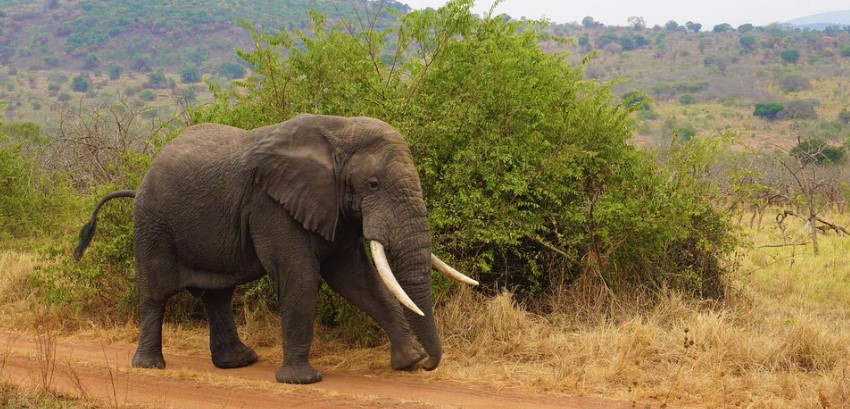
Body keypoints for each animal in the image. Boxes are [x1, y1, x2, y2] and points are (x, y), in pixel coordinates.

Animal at [74, 114, 477, 384]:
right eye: (373, 185)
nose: (430, 365)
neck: (339, 131)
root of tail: (139, 183)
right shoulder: (271, 205)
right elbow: (300, 276)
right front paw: (302, 381)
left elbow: (357, 279)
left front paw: (408, 362)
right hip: (152, 223)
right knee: (156, 293)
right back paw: (150, 367)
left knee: (218, 295)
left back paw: (238, 363)